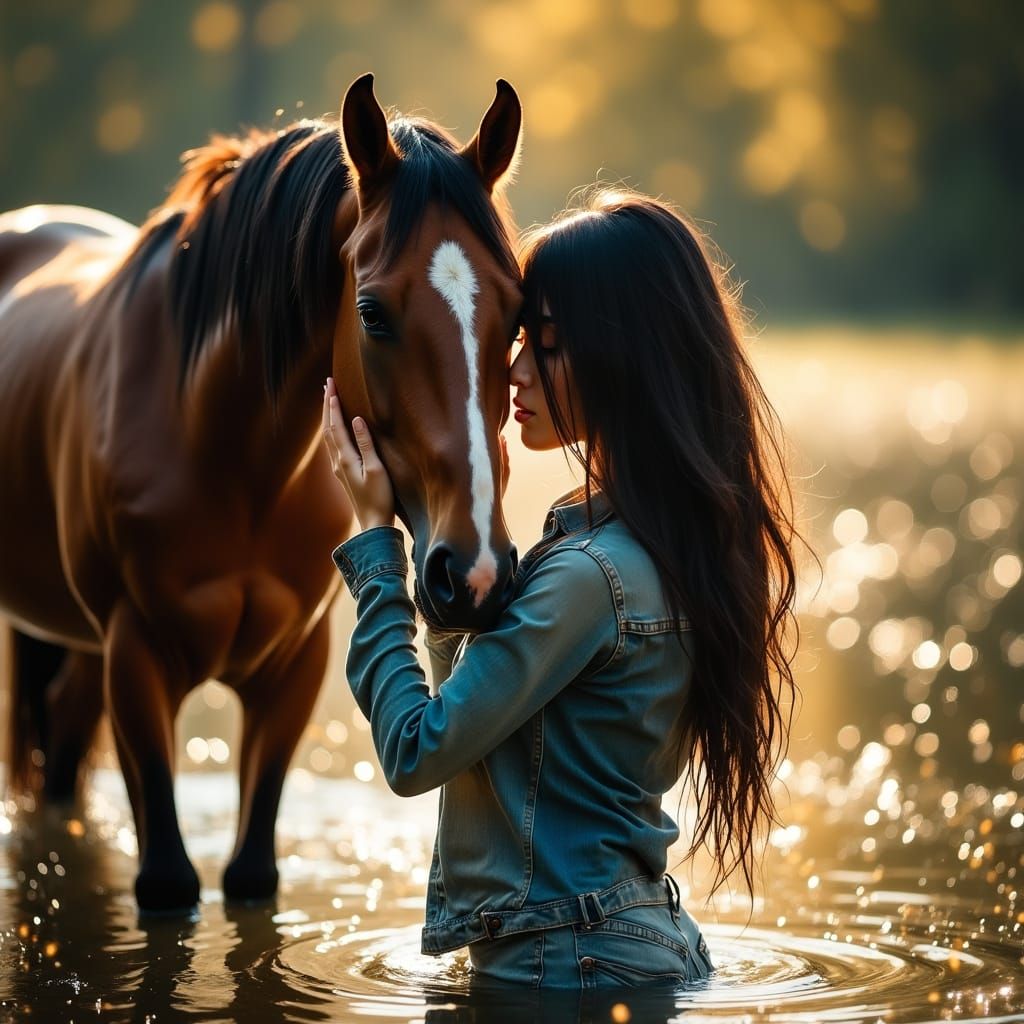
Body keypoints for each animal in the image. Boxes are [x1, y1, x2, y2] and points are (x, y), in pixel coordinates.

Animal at [0, 74, 522, 912]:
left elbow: (251, 877)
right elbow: (169, 882)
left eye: (517, 314)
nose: (473, 574)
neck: (225, 448)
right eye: (372, 313)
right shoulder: (135, 662)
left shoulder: (293, 670)